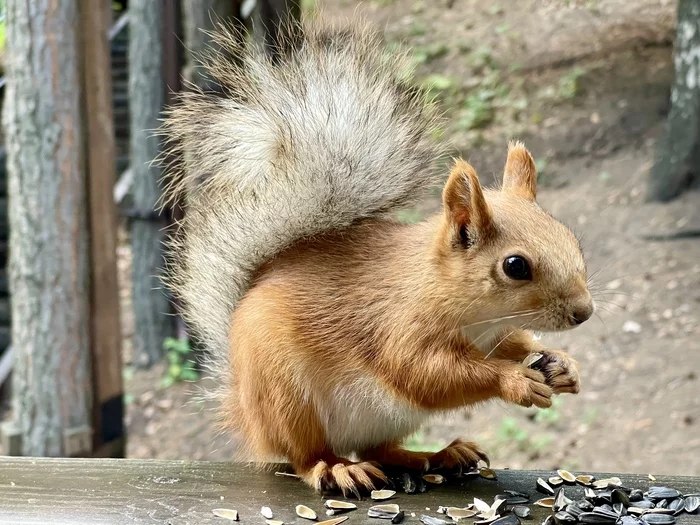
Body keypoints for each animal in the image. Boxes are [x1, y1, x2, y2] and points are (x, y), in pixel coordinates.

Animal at [160, 17, 596, 496]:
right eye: (515, 266)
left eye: (570, 238)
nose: (584, 312)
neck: (474, 316)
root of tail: (245, 411)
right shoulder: (398, 327)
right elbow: (426, 374)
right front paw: (515, 380)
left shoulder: (496, 334)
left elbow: (518, 343)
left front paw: (562, 364)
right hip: (285, 395)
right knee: (305, 455)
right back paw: (337, 469)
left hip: (385, 419)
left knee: (379, 449)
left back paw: (437, 455)